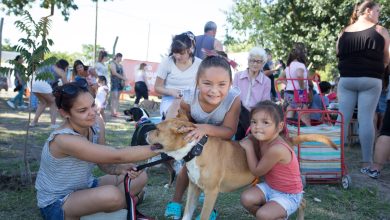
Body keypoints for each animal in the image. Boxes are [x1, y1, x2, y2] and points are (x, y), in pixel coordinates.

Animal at [148, 117, 336, 219]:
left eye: (157, 129)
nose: (144, 132)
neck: (196, 149)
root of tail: (286, 140)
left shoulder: (211, 192)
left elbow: (203, 216)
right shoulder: (194, 187)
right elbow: (187, 213)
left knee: (302, 201)